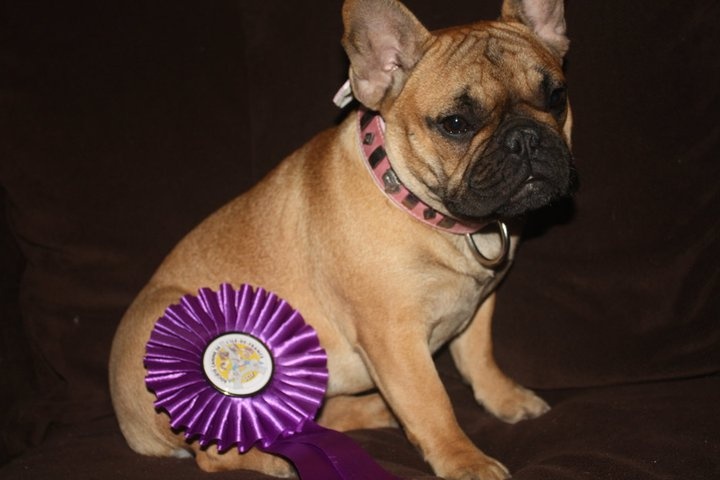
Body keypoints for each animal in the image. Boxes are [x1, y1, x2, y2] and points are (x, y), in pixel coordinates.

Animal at [109, 0, 574, 478]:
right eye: (457, 124)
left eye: (556, 97)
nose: (525, 138)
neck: (426, 213)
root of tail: (129, 423)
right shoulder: (395, 339)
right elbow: (432, 403)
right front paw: (465, 459)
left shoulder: (478, 306)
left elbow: (479, 358)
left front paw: (505, 398)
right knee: (213, 450)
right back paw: (278, 459)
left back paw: (372, 410)